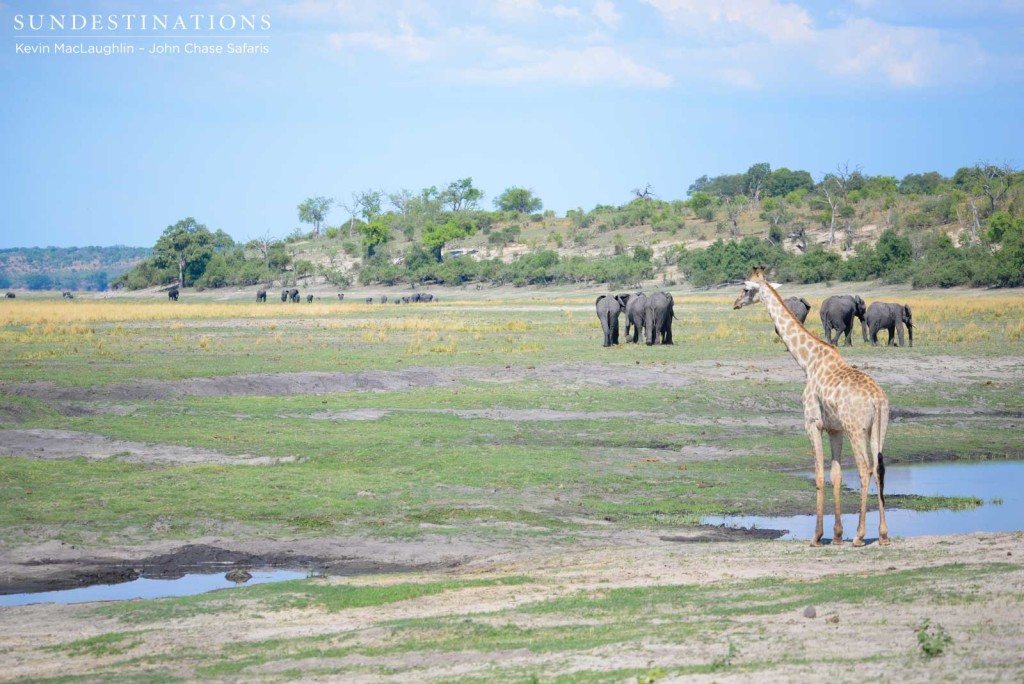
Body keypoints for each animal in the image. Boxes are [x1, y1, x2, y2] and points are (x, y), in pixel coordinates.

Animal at [737, 264, 888, 548]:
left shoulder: (813, 424)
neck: (807, 362)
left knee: (865, 469)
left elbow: (819, 475)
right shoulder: (835, 429)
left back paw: (860, 536)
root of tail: (877, 399)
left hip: (857, 429)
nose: (736, 303)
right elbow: (836, 475)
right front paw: (837, 535)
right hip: (879, 429)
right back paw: (883, 535)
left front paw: (817, 536)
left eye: (745, 289)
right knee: (879, 469)